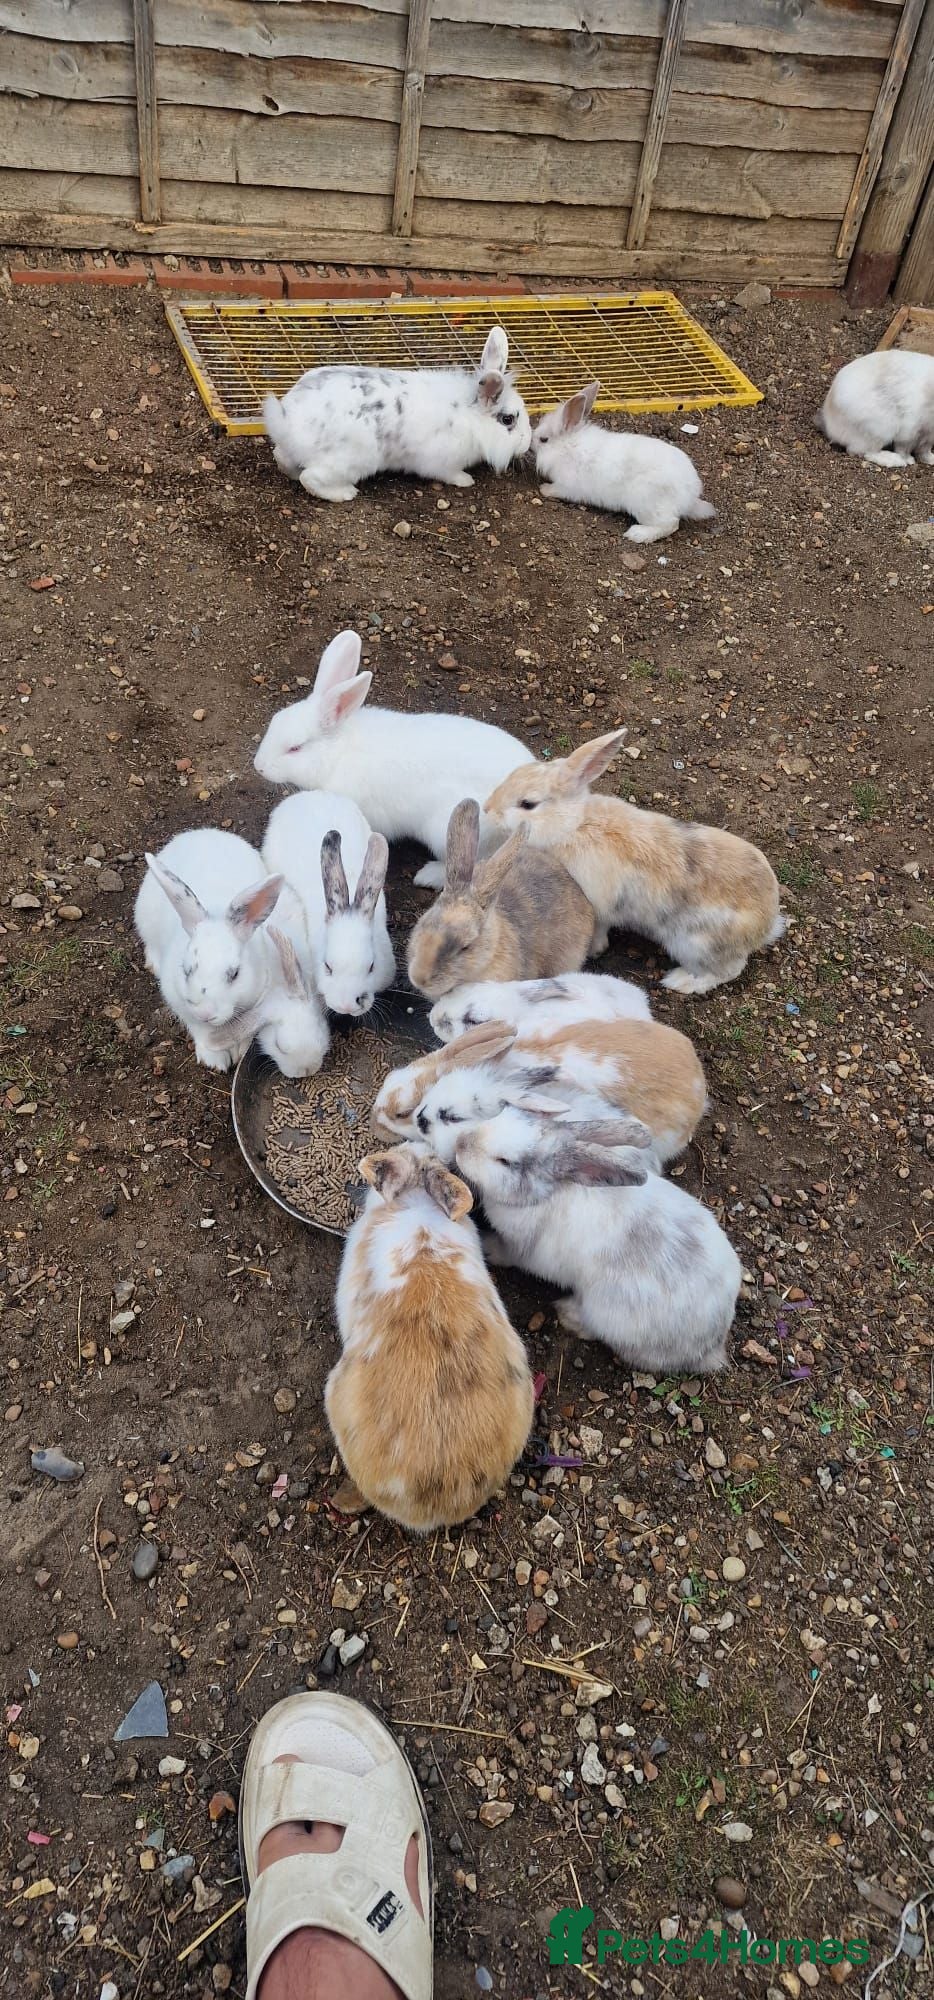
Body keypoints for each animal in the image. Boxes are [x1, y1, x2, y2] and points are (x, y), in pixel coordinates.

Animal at [262, 326, 532, 502]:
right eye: (508, 419)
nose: (527, 443)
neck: (469, 416)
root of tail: (288, 422)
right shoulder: (441, 462)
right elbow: (449, 474)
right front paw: (466, 480)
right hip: (352, 460)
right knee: (311, 478)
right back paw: (345, 493)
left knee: (283, 459)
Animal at [456, 1107, 740, 1374]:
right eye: (505, 1112)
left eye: (505, 1161)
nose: (460, 1143)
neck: (547, 1194)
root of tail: (710, 1344)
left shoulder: (517, 1247)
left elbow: (505, 1253)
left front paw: (488, 1248)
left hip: (606, 1312)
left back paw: (568, 1313)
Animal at [485, 730, 784, 995]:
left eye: (528, 804)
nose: (488, 809)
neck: (574, 825)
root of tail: (766, 925)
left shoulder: (598, 905)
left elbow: (599, 931)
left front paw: (595, 950)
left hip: (697, 945)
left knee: (727, 971)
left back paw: (681, 982)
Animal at [533, 382, 716, 543]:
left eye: (543, 439)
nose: (532, 445)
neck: (567, 446)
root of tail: (690, 497)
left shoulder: (567, 486)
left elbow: (557, 490)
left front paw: (544, 489)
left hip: (646, 503)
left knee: (670, 524)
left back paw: (637, 534)